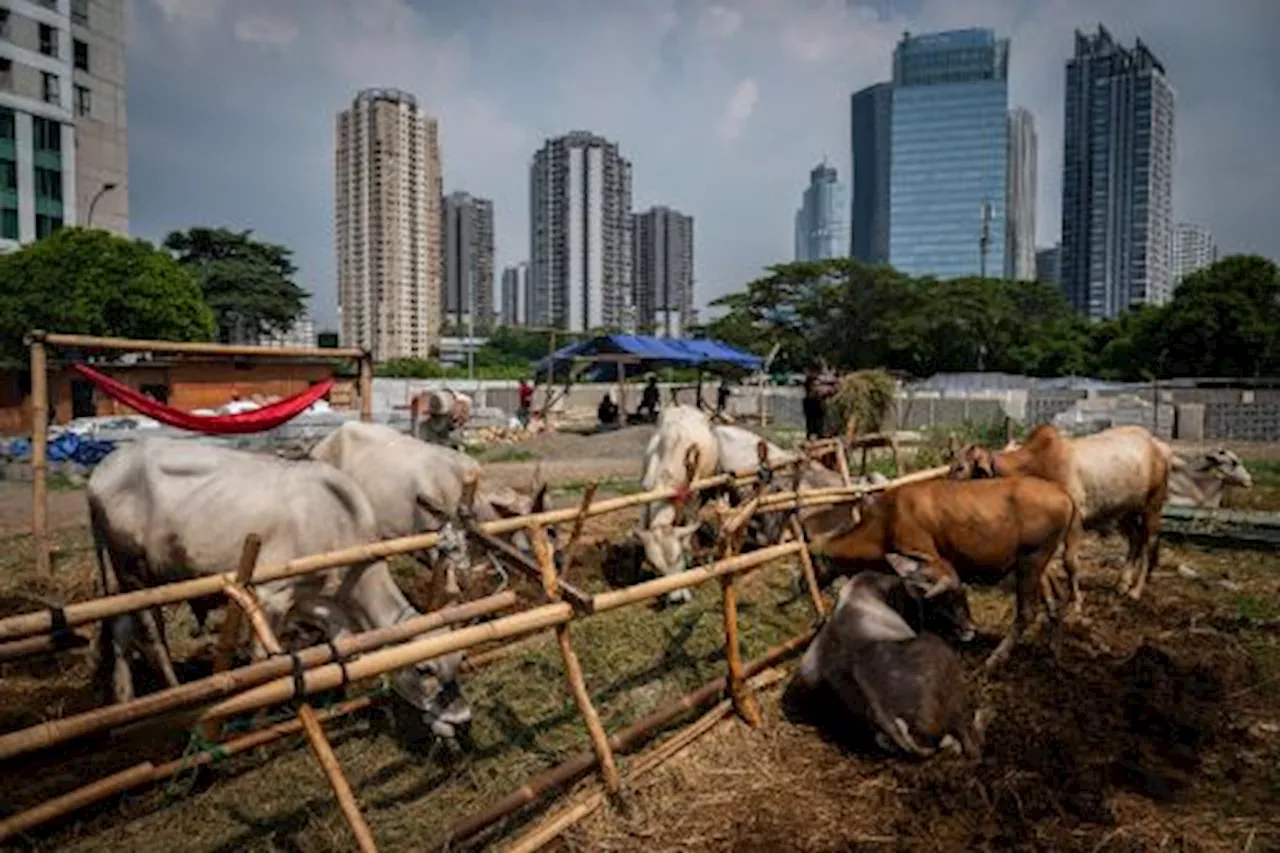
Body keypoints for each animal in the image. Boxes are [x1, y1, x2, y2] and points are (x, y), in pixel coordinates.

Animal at [87, 438, 473, 737]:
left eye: (459, 659)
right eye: (424, 669)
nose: (463, 720)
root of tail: (105, 467)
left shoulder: (318, 604)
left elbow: (343, 649)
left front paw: (343, 699)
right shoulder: (271, 597)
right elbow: (266, 663)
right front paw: (259, 722)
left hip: (123, 581)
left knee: (121, 630)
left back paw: (123, 701)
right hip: (133, 570)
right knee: (151, 632)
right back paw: (175, 691)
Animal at [808, 473, 1080, 666]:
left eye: (811, 561)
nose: (803, 583)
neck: (885, 522)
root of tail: (1063, 493)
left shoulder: (930, 558)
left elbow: (931, 594)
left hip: (1030, 562)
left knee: (1027, 612)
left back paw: (994, 659)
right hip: (1040, 564)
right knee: (1056, 598)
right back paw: (1054, 652)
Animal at [952, 422, 1172, 601]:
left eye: (961, 467)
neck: (1036, 464)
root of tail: (1157, 445)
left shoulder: (1075, 520)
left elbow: (1069, 561)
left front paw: (1075, 600)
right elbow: (1046, 564)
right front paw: (1055, 594)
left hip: (1153, 505)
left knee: (1149, 543)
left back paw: (1136, 590)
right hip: (1124, 511)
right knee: (1135, 539)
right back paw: (1122, 584)